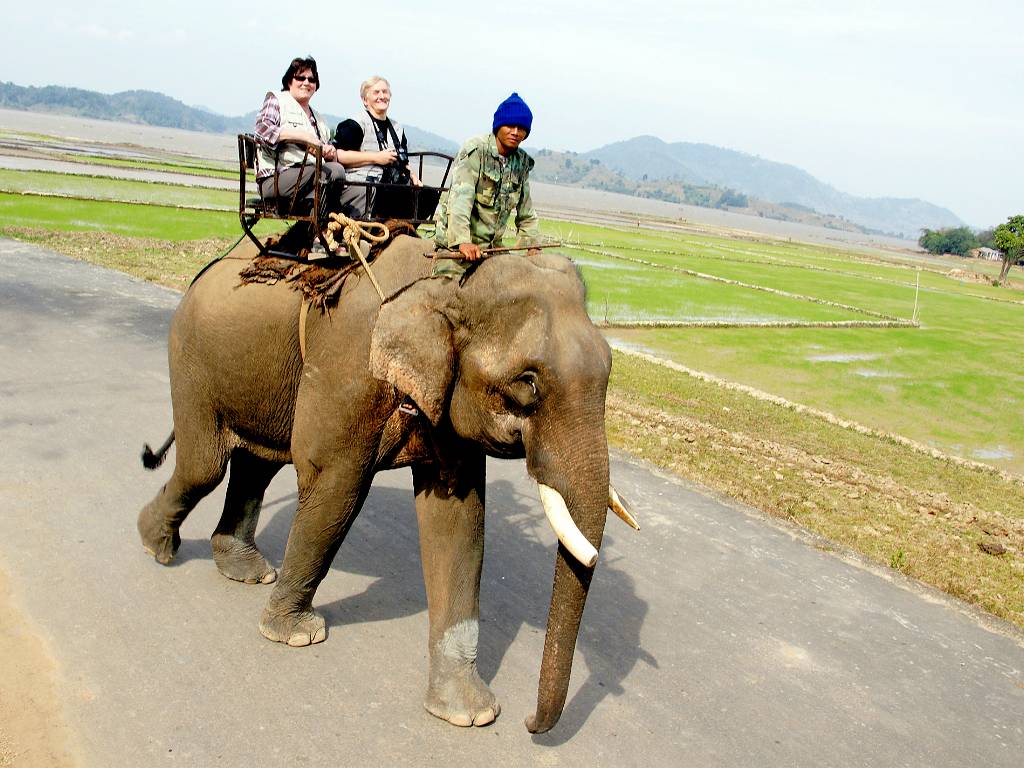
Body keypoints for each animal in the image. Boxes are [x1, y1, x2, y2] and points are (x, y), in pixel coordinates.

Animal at [136, 233, 630, 733]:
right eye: (527, 383)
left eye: (610, 371)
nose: (529, 723)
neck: (445, 283)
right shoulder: (348, 369)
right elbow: (336, 485)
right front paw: (294, 635)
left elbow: (457, 518)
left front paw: (467, 712)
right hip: (192, 361)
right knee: (205, 467)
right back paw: (156, 545)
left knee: (257, 464)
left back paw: (242, 569)